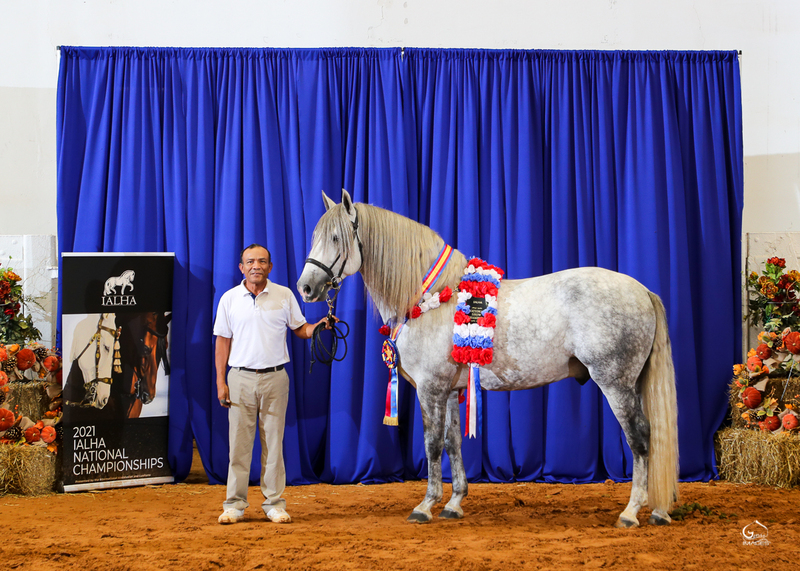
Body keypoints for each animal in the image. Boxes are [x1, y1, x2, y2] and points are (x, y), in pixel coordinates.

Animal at [297, 189, 679, 528]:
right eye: (315, 236)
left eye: (335, 237)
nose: (305, 287)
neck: (431, 297)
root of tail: (642, 290)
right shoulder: (451, 391)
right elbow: (452, 443)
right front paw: (453, 503)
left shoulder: (430, 389)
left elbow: (432, 444)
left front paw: (425, 506)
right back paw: (658, 512)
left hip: (615, 383)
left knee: (640, 438)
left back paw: (631, 512)